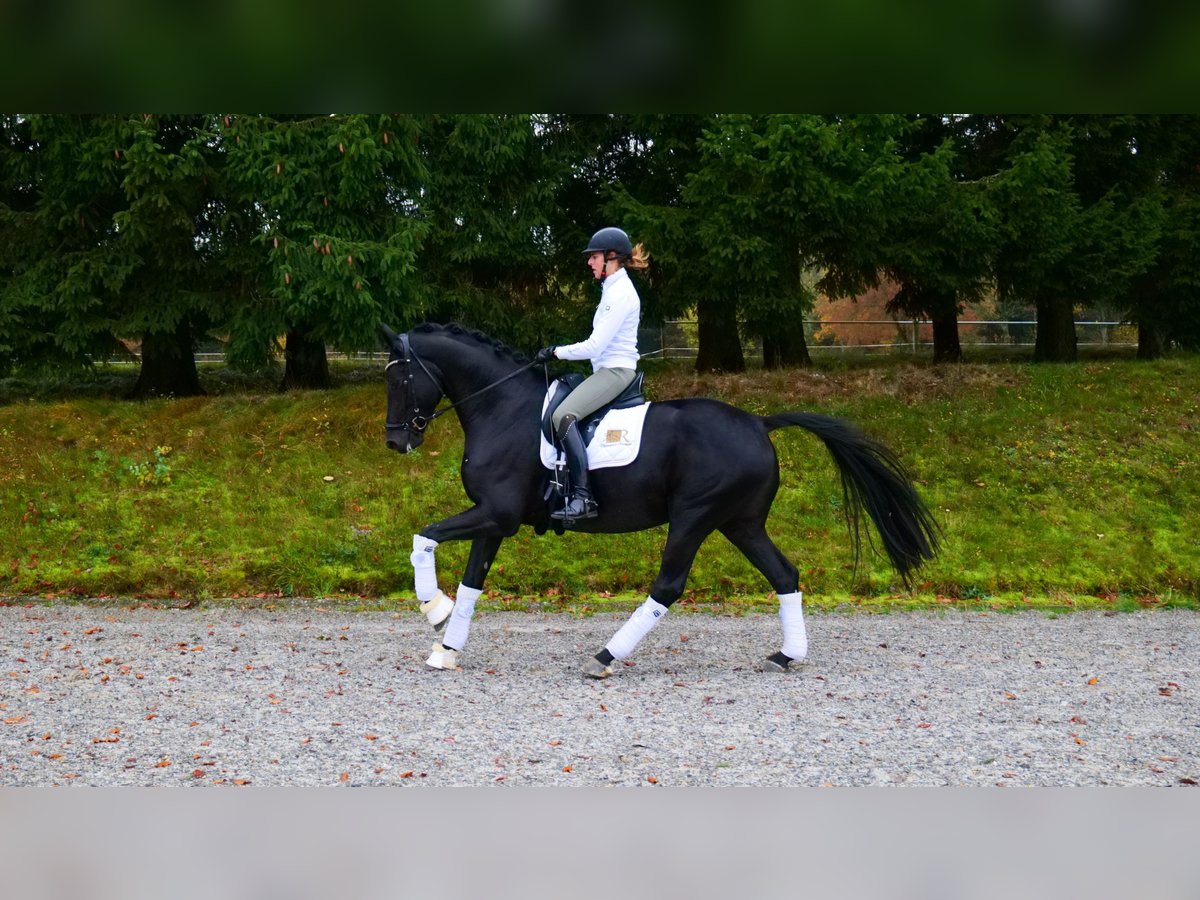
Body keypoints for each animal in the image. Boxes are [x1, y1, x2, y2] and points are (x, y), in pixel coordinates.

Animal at [381, 323, 940, 677]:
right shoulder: (495, 520)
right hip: (741, 522)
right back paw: (785, 656)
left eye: (399, 376)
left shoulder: (495, 514)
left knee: (669, 585)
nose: (396, 441)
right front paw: (446, 647)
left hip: (694, 516)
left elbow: (423, 538)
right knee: (784, 574)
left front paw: (433, 608)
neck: (502, 408)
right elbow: (471, 583)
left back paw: (605, 658)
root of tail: (759, 423)